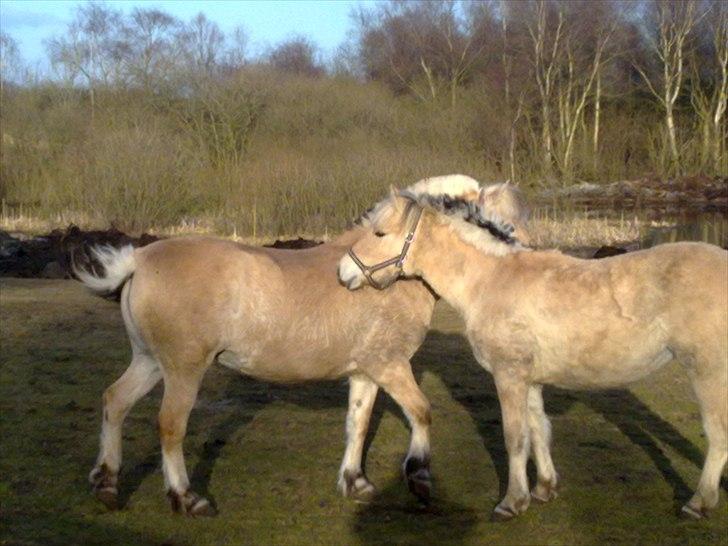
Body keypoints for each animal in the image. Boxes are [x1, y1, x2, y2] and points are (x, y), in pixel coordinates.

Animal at [74, 175, 528, 516]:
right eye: (494, 225)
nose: (521, 258)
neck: (390, 280)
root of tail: (139, 260)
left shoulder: (366, 373)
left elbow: (358, 423)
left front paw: (355, 482)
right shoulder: (391, 366)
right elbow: (421, 412)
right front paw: (418, 476)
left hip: (150, 362)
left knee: (115, 401)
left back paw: (107, 483)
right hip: (183, 370)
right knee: (170, 426)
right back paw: (186, 498)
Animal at [338, 187, 724, 520]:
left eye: (379, 233)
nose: (343, 273)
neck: (488, 281)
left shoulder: (509, 375)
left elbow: (515, 436)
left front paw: (512, 501)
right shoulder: (531, 380)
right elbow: (539, 429)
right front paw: (544, 489)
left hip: (707, 372)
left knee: (718, 434)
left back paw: (699, 503)